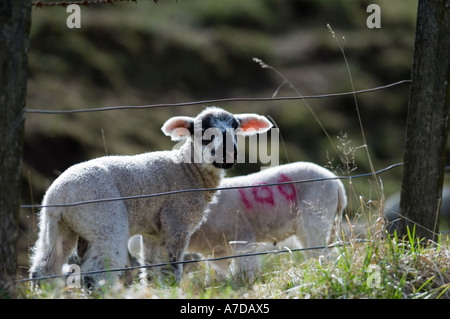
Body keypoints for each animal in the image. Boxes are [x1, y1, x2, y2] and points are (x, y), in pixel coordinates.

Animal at [30, 107, 274, 288]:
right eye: (203, 130)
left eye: (235, 128)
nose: (228, 154)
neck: (188, 170)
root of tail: (59, 195)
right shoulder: (176, 221)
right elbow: (172, 266)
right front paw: (175, 289)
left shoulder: (153, 232)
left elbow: (151, 268)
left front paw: (155, 290)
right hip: (103, 219)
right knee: (96, 273)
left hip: (58, 227)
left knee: (43, 269)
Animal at [130, 161, 348, 282]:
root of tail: (337, 184)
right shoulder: (218, 251)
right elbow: (220, 273)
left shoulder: (243, 239)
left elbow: (246, 268)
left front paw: (246, 283)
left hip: (316, 217)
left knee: (321, 252)